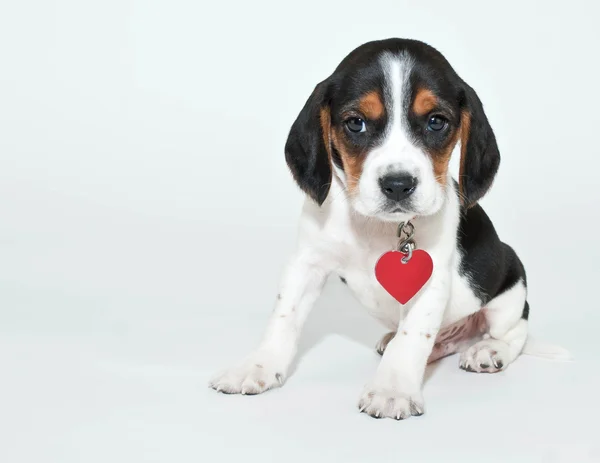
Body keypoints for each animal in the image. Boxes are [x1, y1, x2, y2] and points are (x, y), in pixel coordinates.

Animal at [214, 39, 540, 420]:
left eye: (436, 122)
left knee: (515, 330)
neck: (377, 227)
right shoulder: (306, 264)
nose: (398, 185)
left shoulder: (431, 280)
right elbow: (283, 317)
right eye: (355, 123)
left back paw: (489, 351)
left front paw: (392, 388)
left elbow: (412, 338)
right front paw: (257, 367)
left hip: (510, 285)